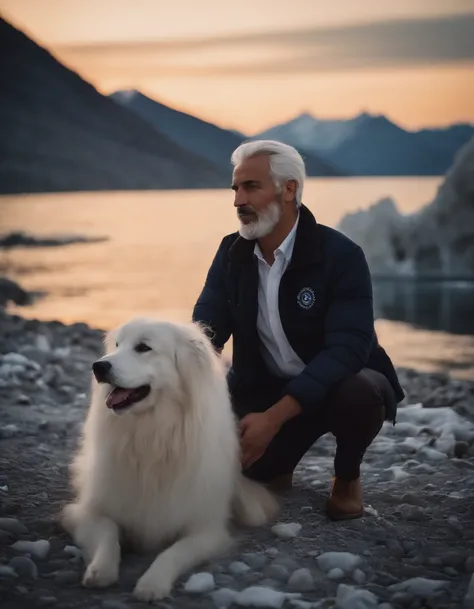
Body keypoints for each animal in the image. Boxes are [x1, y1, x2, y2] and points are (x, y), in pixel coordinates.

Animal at [61, 316, 280, 600]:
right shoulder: (84, 512)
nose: (98, 367)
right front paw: (100, 571)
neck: (152, 434)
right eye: (117, 345)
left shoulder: (206, 531)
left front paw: (152, 584)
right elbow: (108, 534)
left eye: (143, 348)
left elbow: (172, 553)